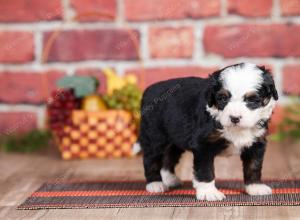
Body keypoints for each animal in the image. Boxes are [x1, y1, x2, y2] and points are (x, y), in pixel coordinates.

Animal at [139, 62, 278, 201]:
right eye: (223, 98)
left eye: (252, 100)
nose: (234, 118)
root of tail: (148, 90)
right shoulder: (203, 145)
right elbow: (205, 170)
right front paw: (209, 192)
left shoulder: (256, 142)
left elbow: (254, 166)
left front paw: (255, 187)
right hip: (155, 136)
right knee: (151, 159)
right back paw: (155, 184)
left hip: (174, 139)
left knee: (169, 156)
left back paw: (170, 179)